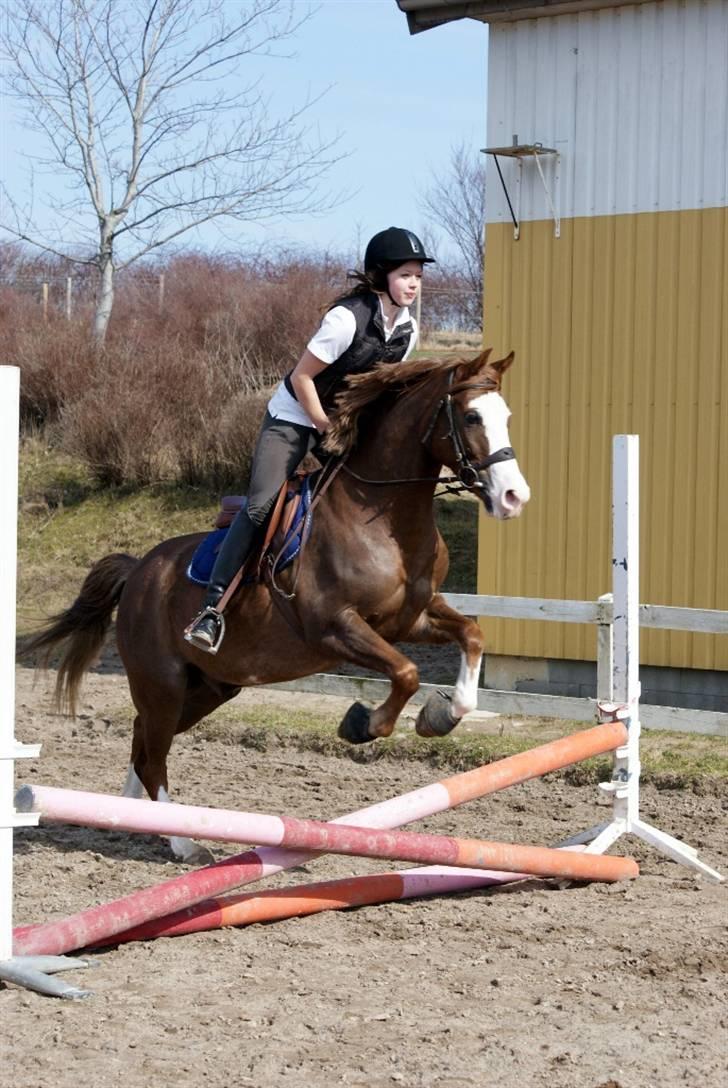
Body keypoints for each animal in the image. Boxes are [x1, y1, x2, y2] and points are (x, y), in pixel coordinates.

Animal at [25, 348, 528, 857]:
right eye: (471, 416)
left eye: (508, 416)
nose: (514, 497)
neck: (384, 521)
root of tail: (138, 571)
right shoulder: (334, 626)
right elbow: (406, 672)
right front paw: (362, 723)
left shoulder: (409, 620)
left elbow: (472, 636)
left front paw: (440, 715)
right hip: (161, 682)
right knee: (153, 753)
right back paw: (185, 843)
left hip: (210, 687)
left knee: (142, 737)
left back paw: (130, 815)